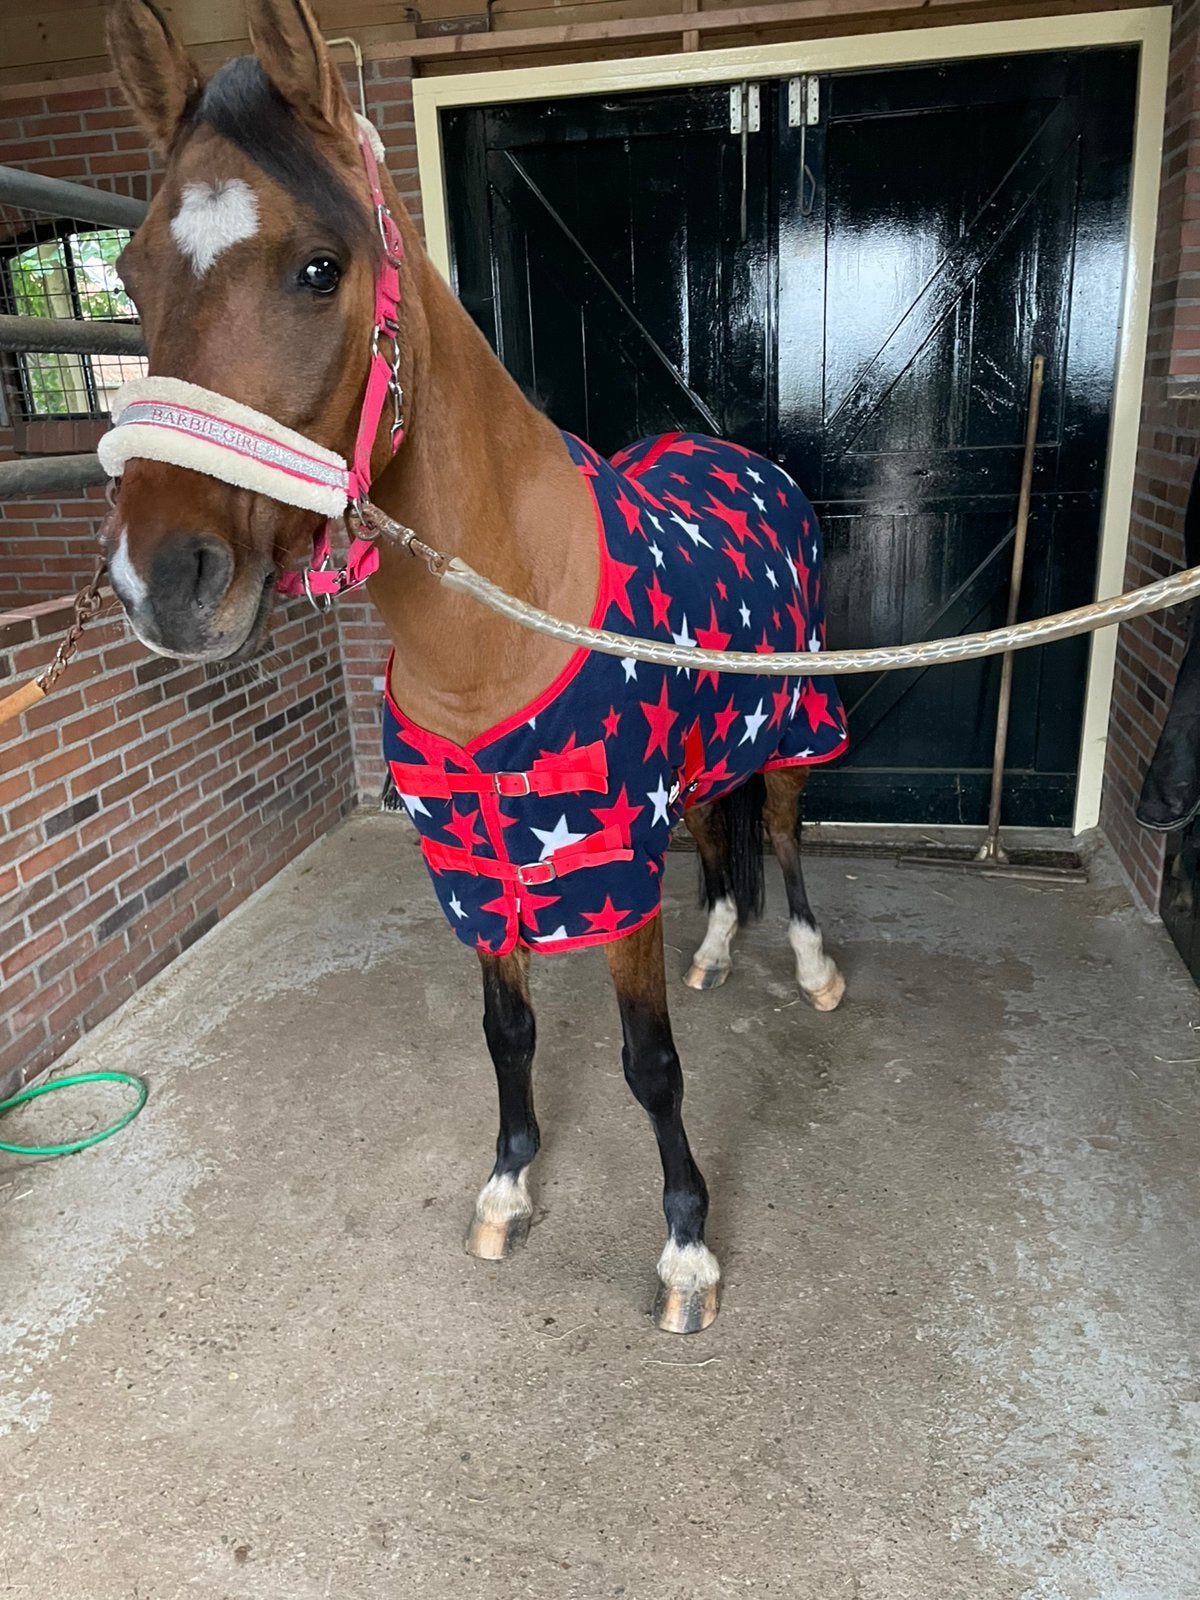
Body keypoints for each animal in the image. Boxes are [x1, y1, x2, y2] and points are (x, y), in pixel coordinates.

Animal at [101, 0, 849, 1334]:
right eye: (132, 275)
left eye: (319, 267)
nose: (160, 583)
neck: (500, 632)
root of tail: (744, 460)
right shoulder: (468, 860)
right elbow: (505, 1031)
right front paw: (507, 1186)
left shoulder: (608, 864)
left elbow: (649, 1062)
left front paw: (687, 1248)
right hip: (710, 740)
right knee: (724, 839)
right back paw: (719, 950)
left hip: (794, 712)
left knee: (781, 822)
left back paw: (811, 969)